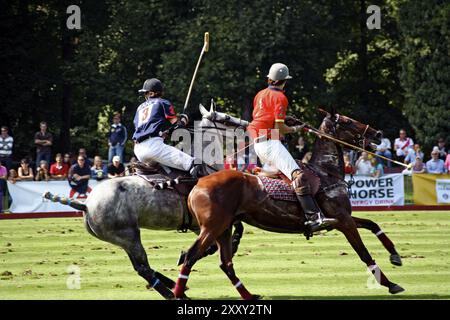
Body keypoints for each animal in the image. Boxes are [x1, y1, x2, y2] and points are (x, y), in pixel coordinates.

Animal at [174, 110, 406, 300]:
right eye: (347, 121)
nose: (378, 134)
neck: (327, 172)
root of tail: (197, 185)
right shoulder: (343, 221)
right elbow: (364, 253)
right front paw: (390, 283)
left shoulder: (343, 218)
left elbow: (373, 224)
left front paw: (395, 256)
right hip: (212, 227)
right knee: (192, 256)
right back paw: (178, 293)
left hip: (224, 227)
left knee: (225, 263)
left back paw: (249, 295)